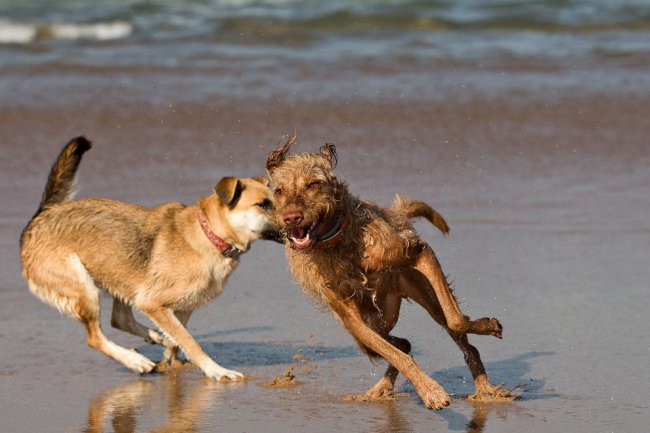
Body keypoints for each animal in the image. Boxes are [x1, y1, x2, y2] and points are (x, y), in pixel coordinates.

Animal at [20, 137, 276, 380]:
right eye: (263, 205)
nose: (289, 218)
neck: (209, 234)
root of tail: (42, 216)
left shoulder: (183, 306)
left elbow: (180, 337)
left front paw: (171, 357)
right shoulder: (154, 303)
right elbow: (191, 342)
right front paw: (216, 370)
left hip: (120, 276)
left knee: (119, 320)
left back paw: (155, 338)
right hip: (84, 287)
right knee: (95, 337)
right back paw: (135, 361)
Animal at [266, 136, 508, 408]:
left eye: (314, 184)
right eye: (279, 190)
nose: (291, 217)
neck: (337, 244)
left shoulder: (417, 252)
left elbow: (456, 319)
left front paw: (487, 326)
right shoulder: (352, 319)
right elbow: (395, 354)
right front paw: (430, 390)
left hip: (422, 292)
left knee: (453, 332)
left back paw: (485, 389)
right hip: (373, 325)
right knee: (400, 345)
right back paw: (382, 387)